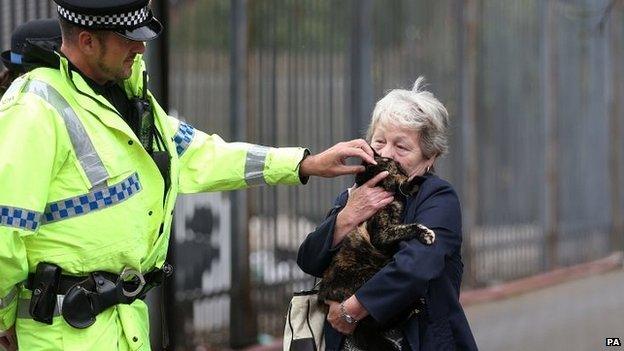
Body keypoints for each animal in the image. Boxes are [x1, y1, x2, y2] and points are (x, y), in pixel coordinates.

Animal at [316, 157, 434, 351]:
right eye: (394, 164)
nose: (403, 168)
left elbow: (402, 189)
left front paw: (414, 183)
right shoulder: (381, 235)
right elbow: (407, 227)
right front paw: (426, 233)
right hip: (369, 276)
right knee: (379, 318)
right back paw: (414, 305)